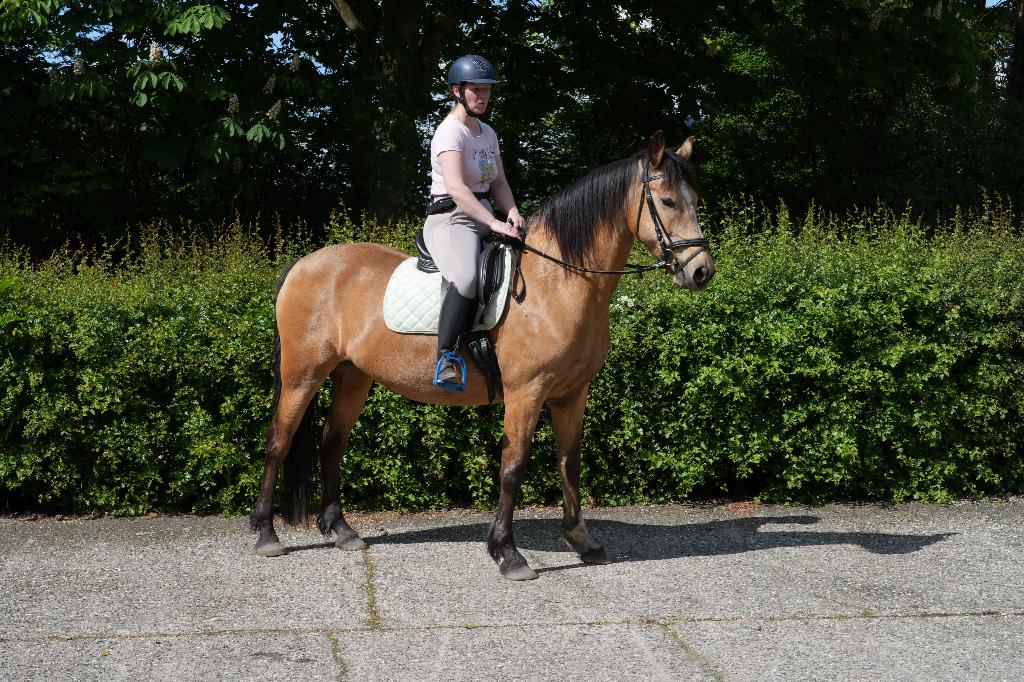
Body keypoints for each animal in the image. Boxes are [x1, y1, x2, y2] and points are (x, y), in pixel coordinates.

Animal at [249, 131, 715, 580]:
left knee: (333, 441)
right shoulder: (527, 393)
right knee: (278, 440)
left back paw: (342, 531)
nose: (701, 272)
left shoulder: (572, 394)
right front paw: (507, 553)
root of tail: (303, 264)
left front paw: (582, 540)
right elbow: (513, 467)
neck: (559, 279)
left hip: (352, 375)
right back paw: (266, 534)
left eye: (696, 199)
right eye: (668, 201)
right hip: (303, 375)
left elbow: (570, 463)